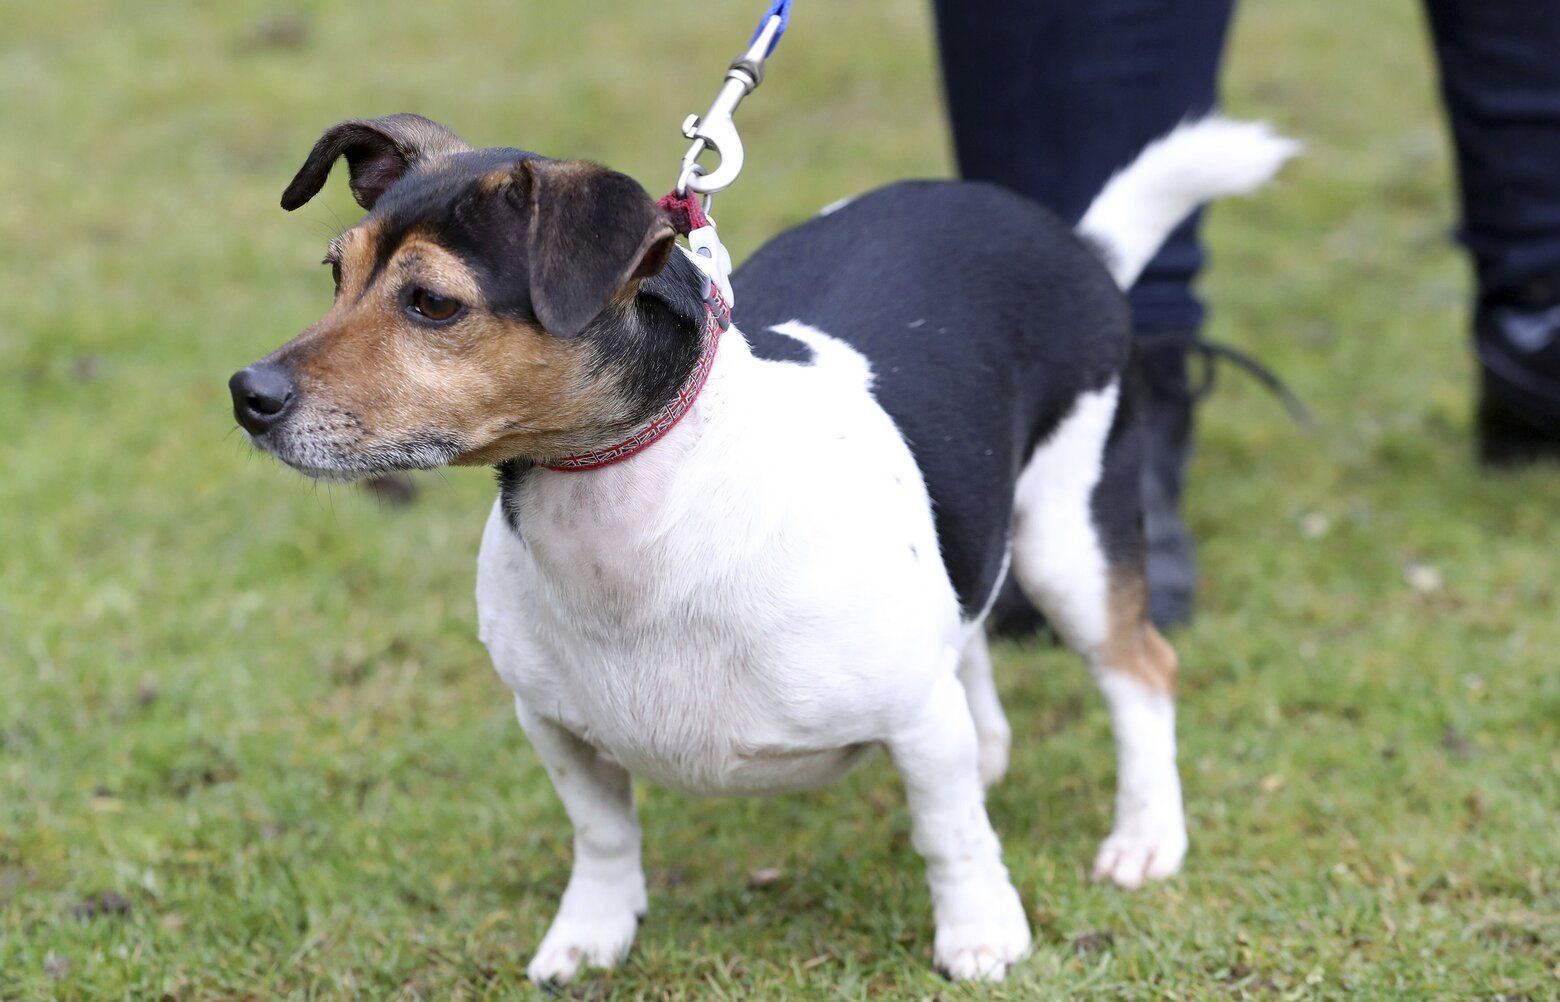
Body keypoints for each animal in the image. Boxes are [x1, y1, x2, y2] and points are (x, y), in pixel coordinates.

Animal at [230, 113, 1291, 980]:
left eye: (433, 304)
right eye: (336, 273)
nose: (248, 394)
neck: (634, 517)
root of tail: (1071, 237)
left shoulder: (914, 718)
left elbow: (950, 836)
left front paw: (981, 934)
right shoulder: (556, 728)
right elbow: (602, 838)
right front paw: (592, 935)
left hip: (1070, 539)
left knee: (1140, 673)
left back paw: (1145, 836)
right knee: (973, 631)